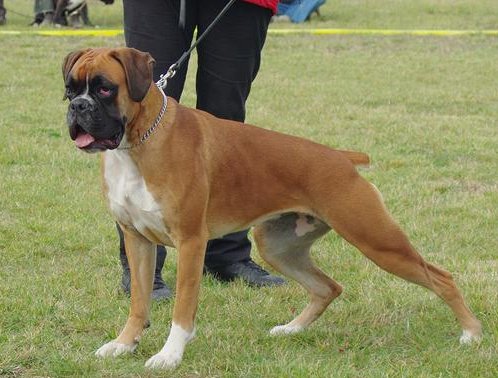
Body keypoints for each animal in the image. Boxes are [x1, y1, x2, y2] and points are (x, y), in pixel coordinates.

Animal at [62, 47, 482, 370]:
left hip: (377, 240)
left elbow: (183, 308)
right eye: (70, 89)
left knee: (441, 278)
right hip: (280, 247)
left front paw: (169, 356)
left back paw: (471, 333)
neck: (137, 143)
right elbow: (139, 302)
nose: (78, 107)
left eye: (105, 88)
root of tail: (342, 158)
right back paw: (292, 329)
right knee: (328, 287)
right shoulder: (138, 241)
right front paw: (123, 344)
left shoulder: (191, 243)